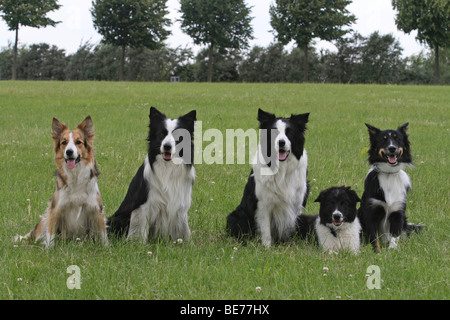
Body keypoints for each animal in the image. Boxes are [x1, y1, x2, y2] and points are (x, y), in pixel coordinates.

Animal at [19, 116, 108, 249]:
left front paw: (107, 248)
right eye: (64, 143)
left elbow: (103, 234)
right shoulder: (54, 209)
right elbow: (50, 235)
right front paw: (48, 250)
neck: (75, 176)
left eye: (78, 142)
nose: (69, 152)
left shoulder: (96, 209)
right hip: (44, 219)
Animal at [108, 106, 196, 244]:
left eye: (179, 136)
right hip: (119, 218)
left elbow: (183, 228)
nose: (167, 146)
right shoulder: (143, 206)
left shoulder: (180, 204)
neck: (168, 167)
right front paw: (138, 245)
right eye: (161, 134)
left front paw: (185, 243)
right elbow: (140, 230)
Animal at [227, 108, 312, 248]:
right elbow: (265, 229)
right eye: (274, 132)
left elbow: (292, 227)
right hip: (237, 216)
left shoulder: (296, 203)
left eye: (290, 133)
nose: (281, 142)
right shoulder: (263, 204)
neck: (282, 168)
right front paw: (267, 248)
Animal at [358, 122, 422, 250]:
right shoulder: (371, 212)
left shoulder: (398, 212)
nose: (392, 148)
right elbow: (374, 238)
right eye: (383, 140)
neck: (389, 173)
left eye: (397, 139)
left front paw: (392, 250)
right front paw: (377, 252)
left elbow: (395, 236)